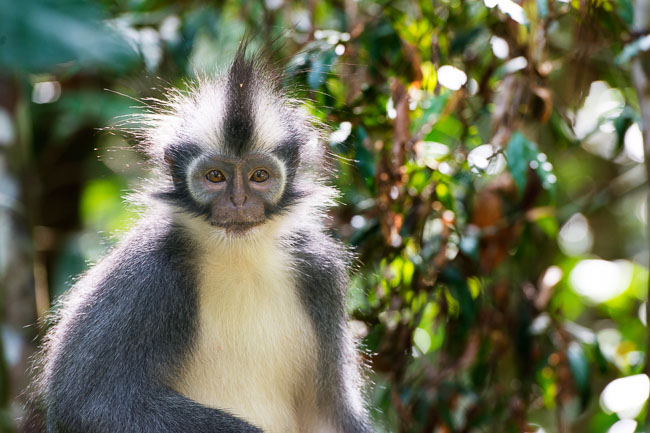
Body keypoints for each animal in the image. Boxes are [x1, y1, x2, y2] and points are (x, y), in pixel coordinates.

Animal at [26, 43, 374, 432]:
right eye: (215, 177)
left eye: (259, 176)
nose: (238, 202)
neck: (238, 256)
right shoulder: (146, 273)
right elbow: (86, 403)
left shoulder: (318, 270)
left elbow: (329, 412)